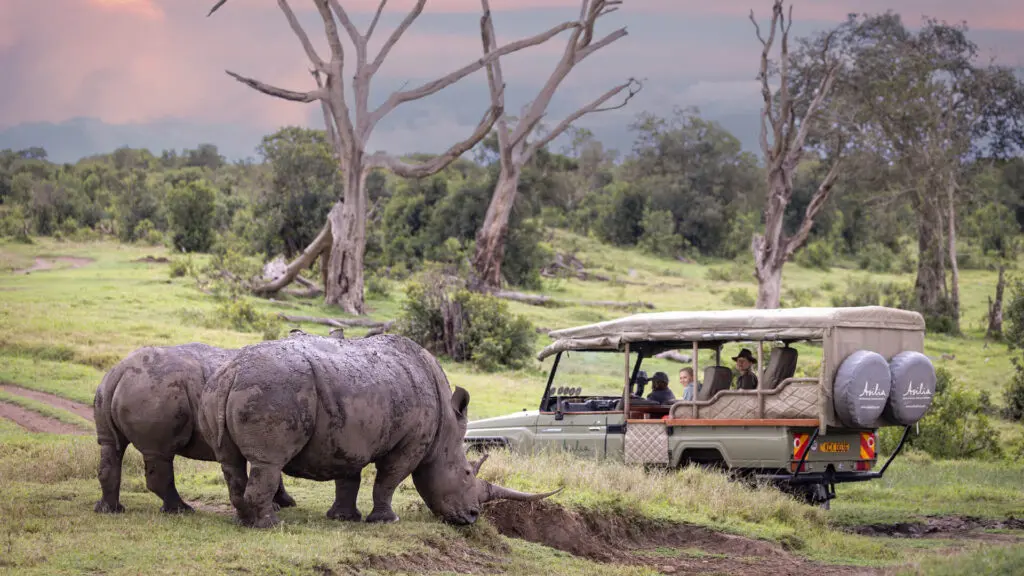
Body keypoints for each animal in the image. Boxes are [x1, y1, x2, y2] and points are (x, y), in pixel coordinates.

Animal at [93, 343, 297, 514]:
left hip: (111, 388)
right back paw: (181, 510)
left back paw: (110, 510)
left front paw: (285, 503)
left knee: (111, 445)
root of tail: (121, 370)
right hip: (156, 390)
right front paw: (280, 505)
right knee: (160, 453)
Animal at [198, 334, 558, 528]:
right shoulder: (411, 443)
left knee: (230, 462)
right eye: (468, 473)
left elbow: (348, 478)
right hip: (274, 388)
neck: (446, 429)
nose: (471, 517)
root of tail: (233, 371)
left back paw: (244, 521)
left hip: (218, 388)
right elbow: (389, 479)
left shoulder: (347, 435)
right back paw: (269, 525)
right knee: (268, 463)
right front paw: (387, 521)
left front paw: (342, 518)